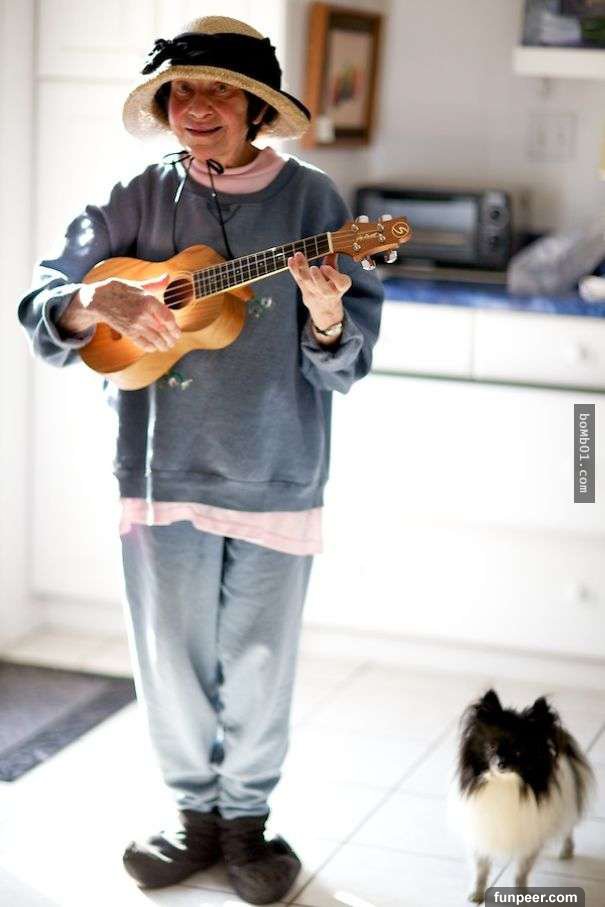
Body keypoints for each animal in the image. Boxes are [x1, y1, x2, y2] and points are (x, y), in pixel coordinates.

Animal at [447, 688, 595, 903]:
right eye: (491, 746)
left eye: (518, 751)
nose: (501, 764)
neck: (504, 784)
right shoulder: (481, 832)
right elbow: (481, 868)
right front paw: (476, 893)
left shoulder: (529, 837)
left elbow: (521, 871)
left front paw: (521, 895)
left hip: (566, 806)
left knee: (568, 828)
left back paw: (566, 850)